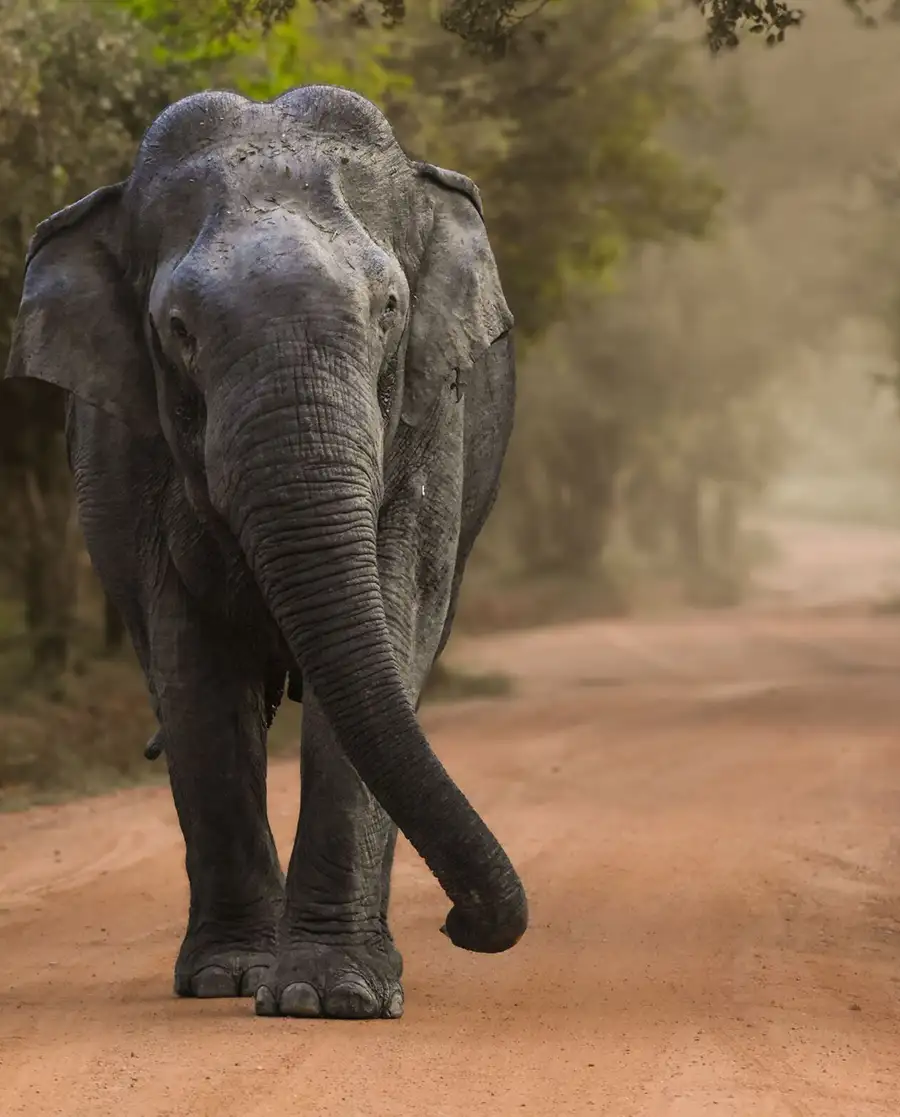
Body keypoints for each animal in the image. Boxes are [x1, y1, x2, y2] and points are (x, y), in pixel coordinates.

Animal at [3, 84, 527, 1019]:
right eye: (177, 329)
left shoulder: (435, 420)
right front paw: (229, 981)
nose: (462, 923)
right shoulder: (128, 447)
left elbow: (389, 624)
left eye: (390, 309)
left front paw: (335, 997)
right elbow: (196, 672)